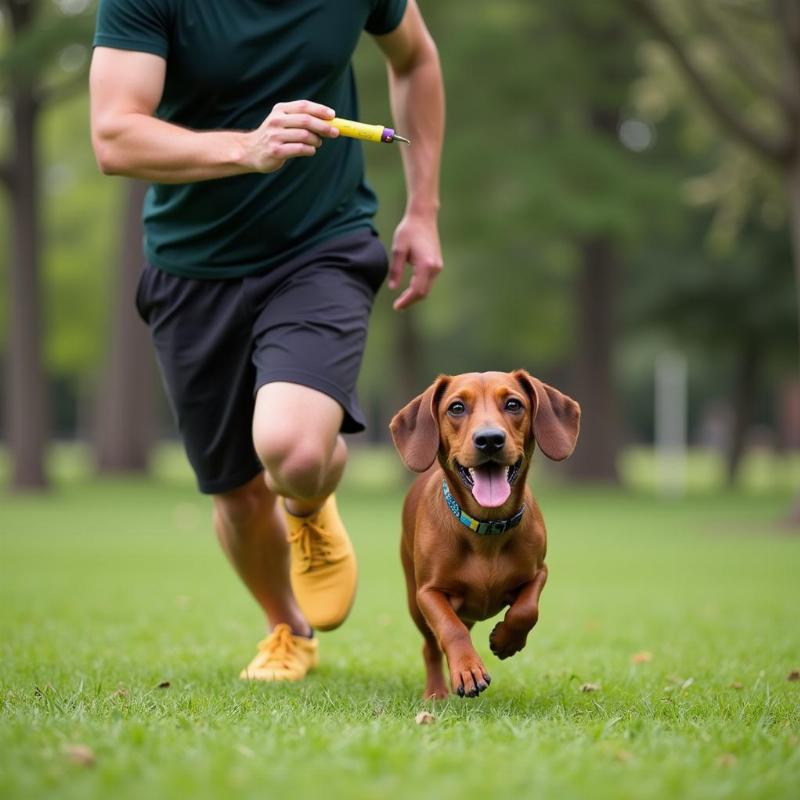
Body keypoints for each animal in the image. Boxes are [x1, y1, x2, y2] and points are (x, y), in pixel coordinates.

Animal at [390, 372, 580, 696]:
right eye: (456, 407)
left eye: (514, 404)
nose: (490, 439)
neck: (487, 528)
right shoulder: (428, 593)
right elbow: (450, 629)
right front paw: (468, 669)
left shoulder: (539, 571)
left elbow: (527, 609)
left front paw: (506, 640)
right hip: (415, 604)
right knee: (431, 647)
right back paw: (436, 692)